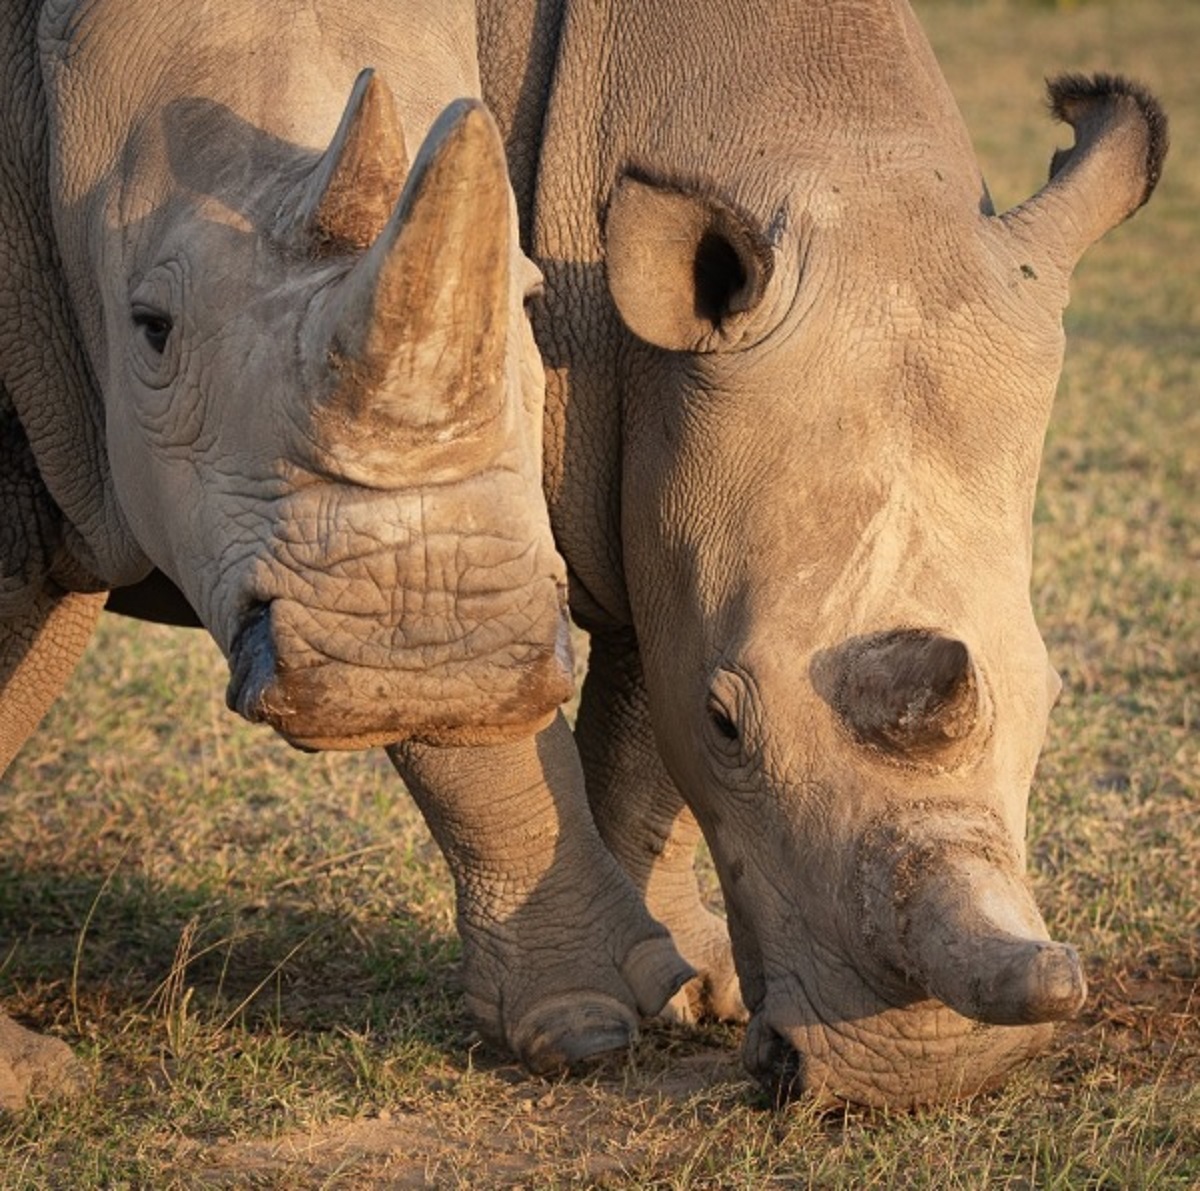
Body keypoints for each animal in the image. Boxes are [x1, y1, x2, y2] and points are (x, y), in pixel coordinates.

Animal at [470, 0, 1171, 1109]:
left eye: (1056, 697)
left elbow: (642, 731)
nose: (916, 1080)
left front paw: (680, 989)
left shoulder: (660, 449)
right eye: (728, 723)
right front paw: (584, 1023)